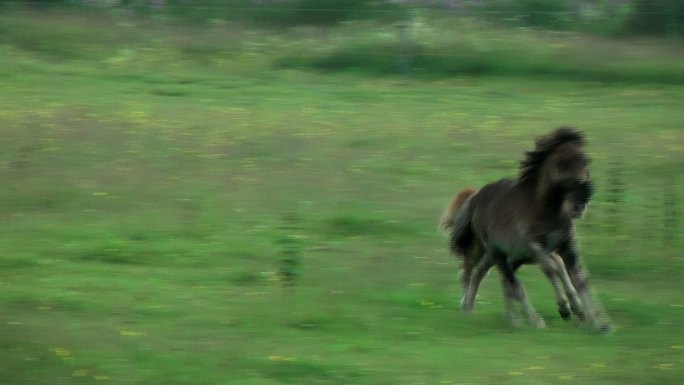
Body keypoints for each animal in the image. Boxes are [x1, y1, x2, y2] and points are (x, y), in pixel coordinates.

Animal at [444, 127, 616, 332]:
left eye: (587, 160)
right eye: (561, 163)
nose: (580, 204)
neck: (548, 211)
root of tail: (477, 196)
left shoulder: (568, 247)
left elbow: (581, 279)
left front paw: (599, 322)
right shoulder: (534, 246)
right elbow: (550, 269)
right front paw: (567, 309)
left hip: (504, 258)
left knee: (490, 277)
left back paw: (502, 316)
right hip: (496, 253)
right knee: (485, 275)